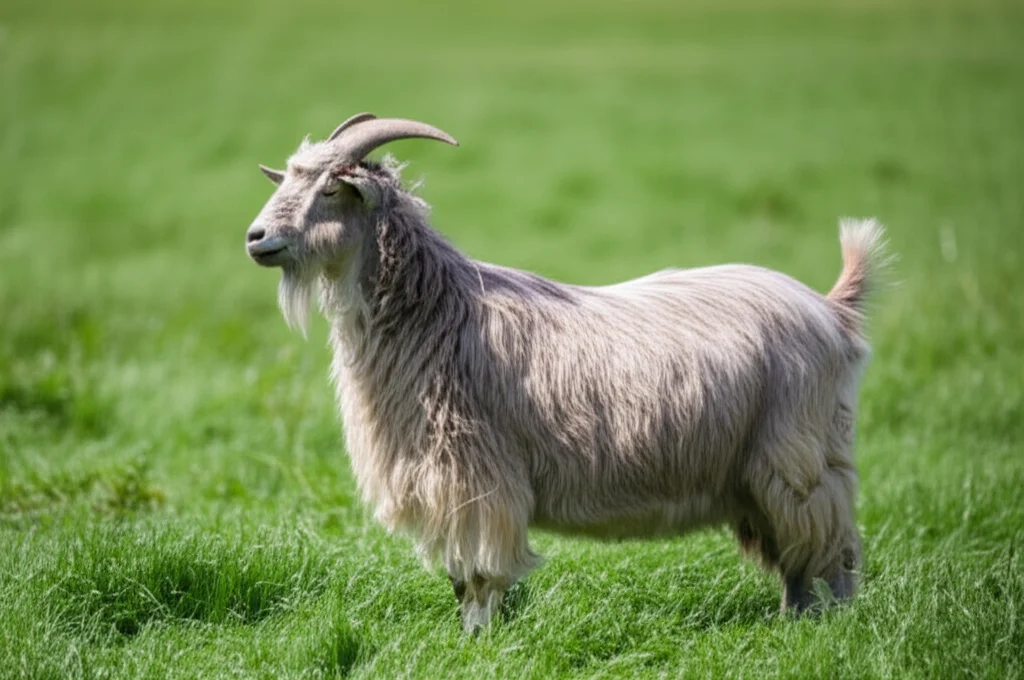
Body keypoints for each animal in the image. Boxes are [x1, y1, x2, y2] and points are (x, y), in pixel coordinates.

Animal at [245, 113, 888, 632]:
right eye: (289, 178)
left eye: (332, 187)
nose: (256, 238)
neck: (440, 311)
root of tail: (830, 308)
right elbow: (457, 577)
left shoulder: (478, 479)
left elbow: (479, 578)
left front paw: (478, 642)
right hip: (763, 476)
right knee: (797, 558)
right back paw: (792, 623)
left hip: (800, 460)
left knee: (831, 553)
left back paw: (827, 628)